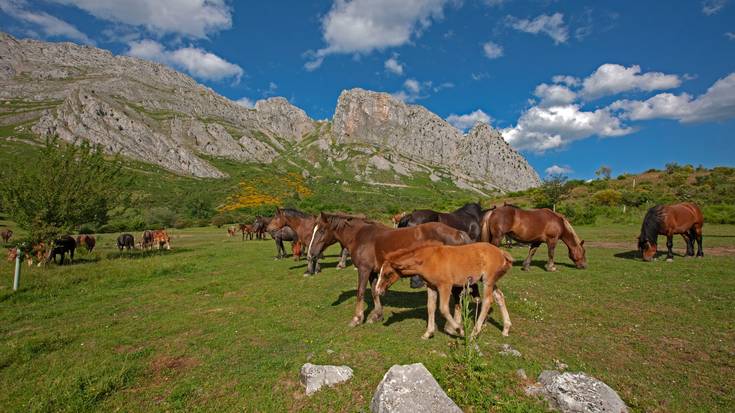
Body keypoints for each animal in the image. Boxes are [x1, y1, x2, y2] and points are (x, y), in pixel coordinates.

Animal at [310, 212, 474, 326]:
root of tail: (458, 233)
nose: (311, 253)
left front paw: (357, 319)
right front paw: (377, 315)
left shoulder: (364, 270)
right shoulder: (374, 272)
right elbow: (374, 291)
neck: (361, 237)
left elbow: (360, 292)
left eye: (321, 230)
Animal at [376, 241, 516, 338]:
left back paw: (474, 333)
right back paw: (506, 328)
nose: (378, 291)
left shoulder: (445, 286)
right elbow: (430, 307)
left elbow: (443, 309)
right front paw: (428, 333)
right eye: (380, 271)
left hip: (488, 281)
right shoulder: (431, 286)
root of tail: (502, 253)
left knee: (487, 302)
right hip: (491, 282)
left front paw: (459, 330)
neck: (428, 259)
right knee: (499, 296)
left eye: (388, 274)